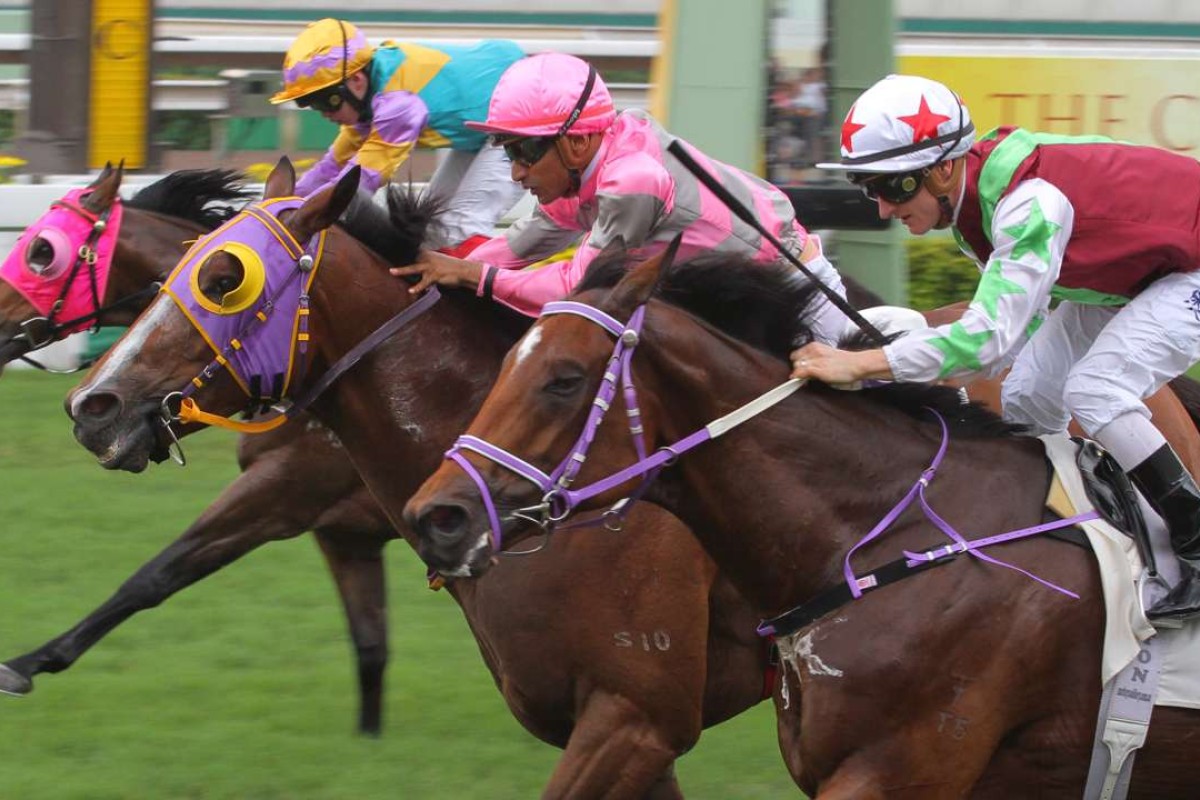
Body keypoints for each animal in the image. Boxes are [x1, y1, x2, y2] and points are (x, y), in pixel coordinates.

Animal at [58, 160, 768, 796]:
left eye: (225, 278)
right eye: (170, 273)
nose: (92, 405)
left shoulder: (636, 717)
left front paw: (38, 662)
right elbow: (365, 638)